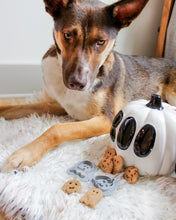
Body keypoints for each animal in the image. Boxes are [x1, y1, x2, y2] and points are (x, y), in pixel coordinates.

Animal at [0, 0, 176, 172]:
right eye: (68, 35)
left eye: (101, 42)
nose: (77, 83)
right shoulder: (54, 105)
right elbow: (13, 108)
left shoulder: (107, 119)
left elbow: (57, 128)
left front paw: (25, 154)